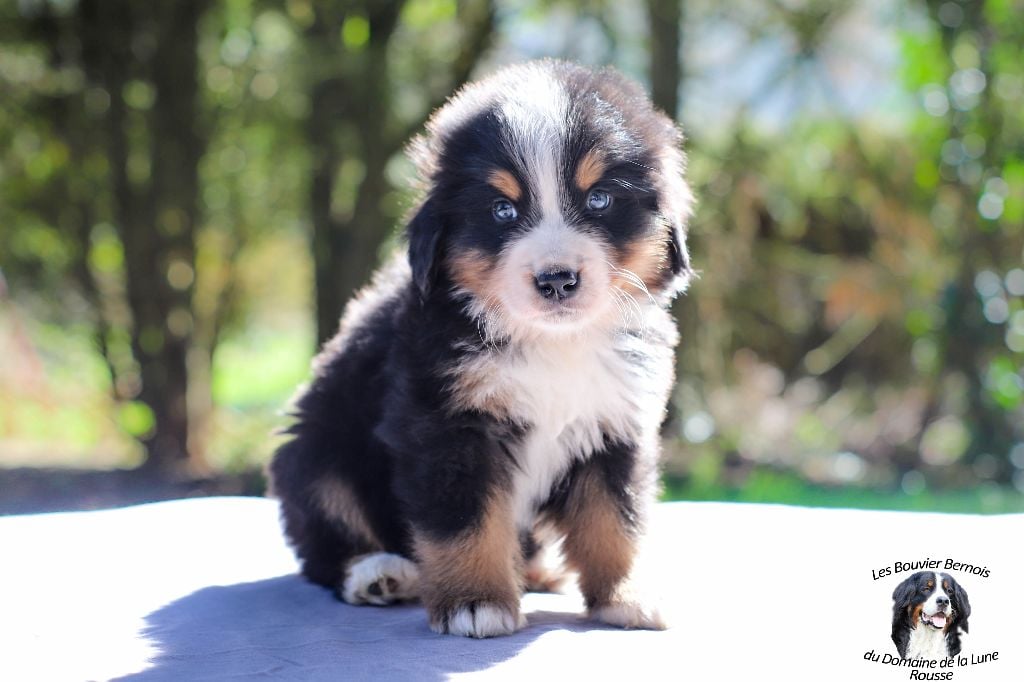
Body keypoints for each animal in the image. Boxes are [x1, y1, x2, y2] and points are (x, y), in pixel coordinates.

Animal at [269, 60, 693, 638]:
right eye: (502, 210)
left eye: (599, 199)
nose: (557, 280)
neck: (553, 344)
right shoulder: (447, 425)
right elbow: (465, 523)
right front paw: (476, 602)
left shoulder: (617, 423)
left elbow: (616, 518)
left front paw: (625, 595)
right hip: (317, 452)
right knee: (327, 539)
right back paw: (377, 574)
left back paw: (538, 569)